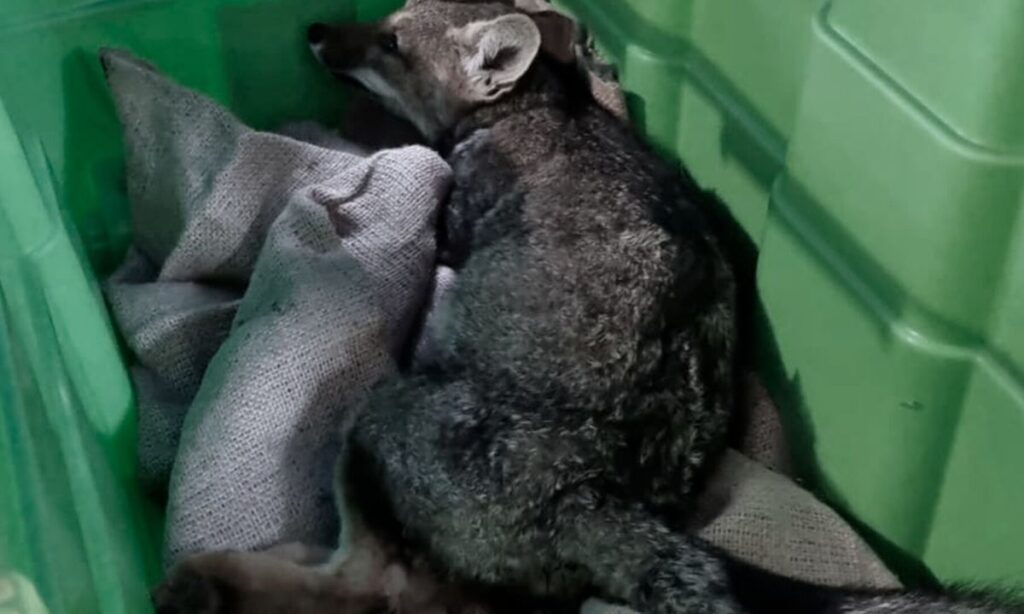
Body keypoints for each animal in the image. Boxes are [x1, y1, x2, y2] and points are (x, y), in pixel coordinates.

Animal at [154, 1, 1023, 613]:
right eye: (383, 22)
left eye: (392, 43)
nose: (314, 28)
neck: (546, 108)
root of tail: (588, 494)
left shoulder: (454, 220)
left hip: (375, 416)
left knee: (369, 586)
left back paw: (210, 579)